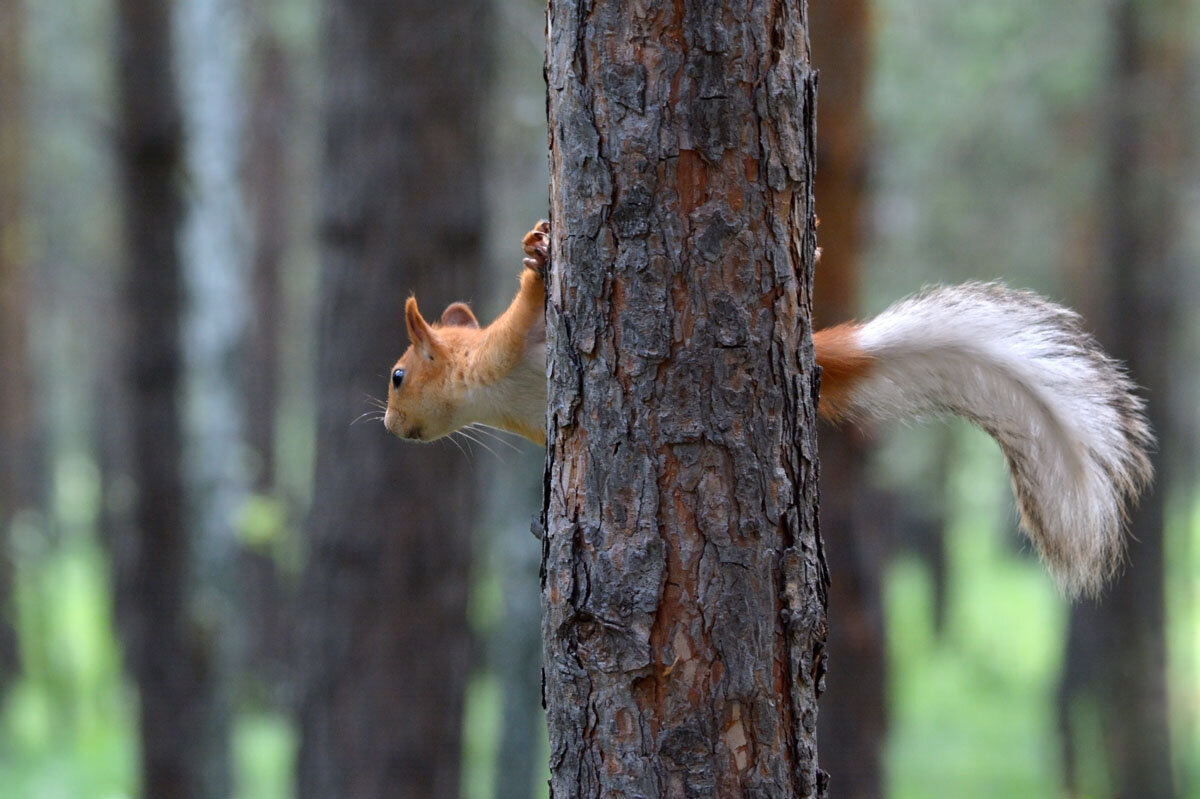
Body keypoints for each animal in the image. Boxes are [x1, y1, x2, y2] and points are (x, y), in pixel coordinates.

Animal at [386, 220, 1152, 595]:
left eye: (396, 376)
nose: (391, 428)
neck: (492, 389)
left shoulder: (513, 343)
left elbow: (527, 302)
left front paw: (538, 252)